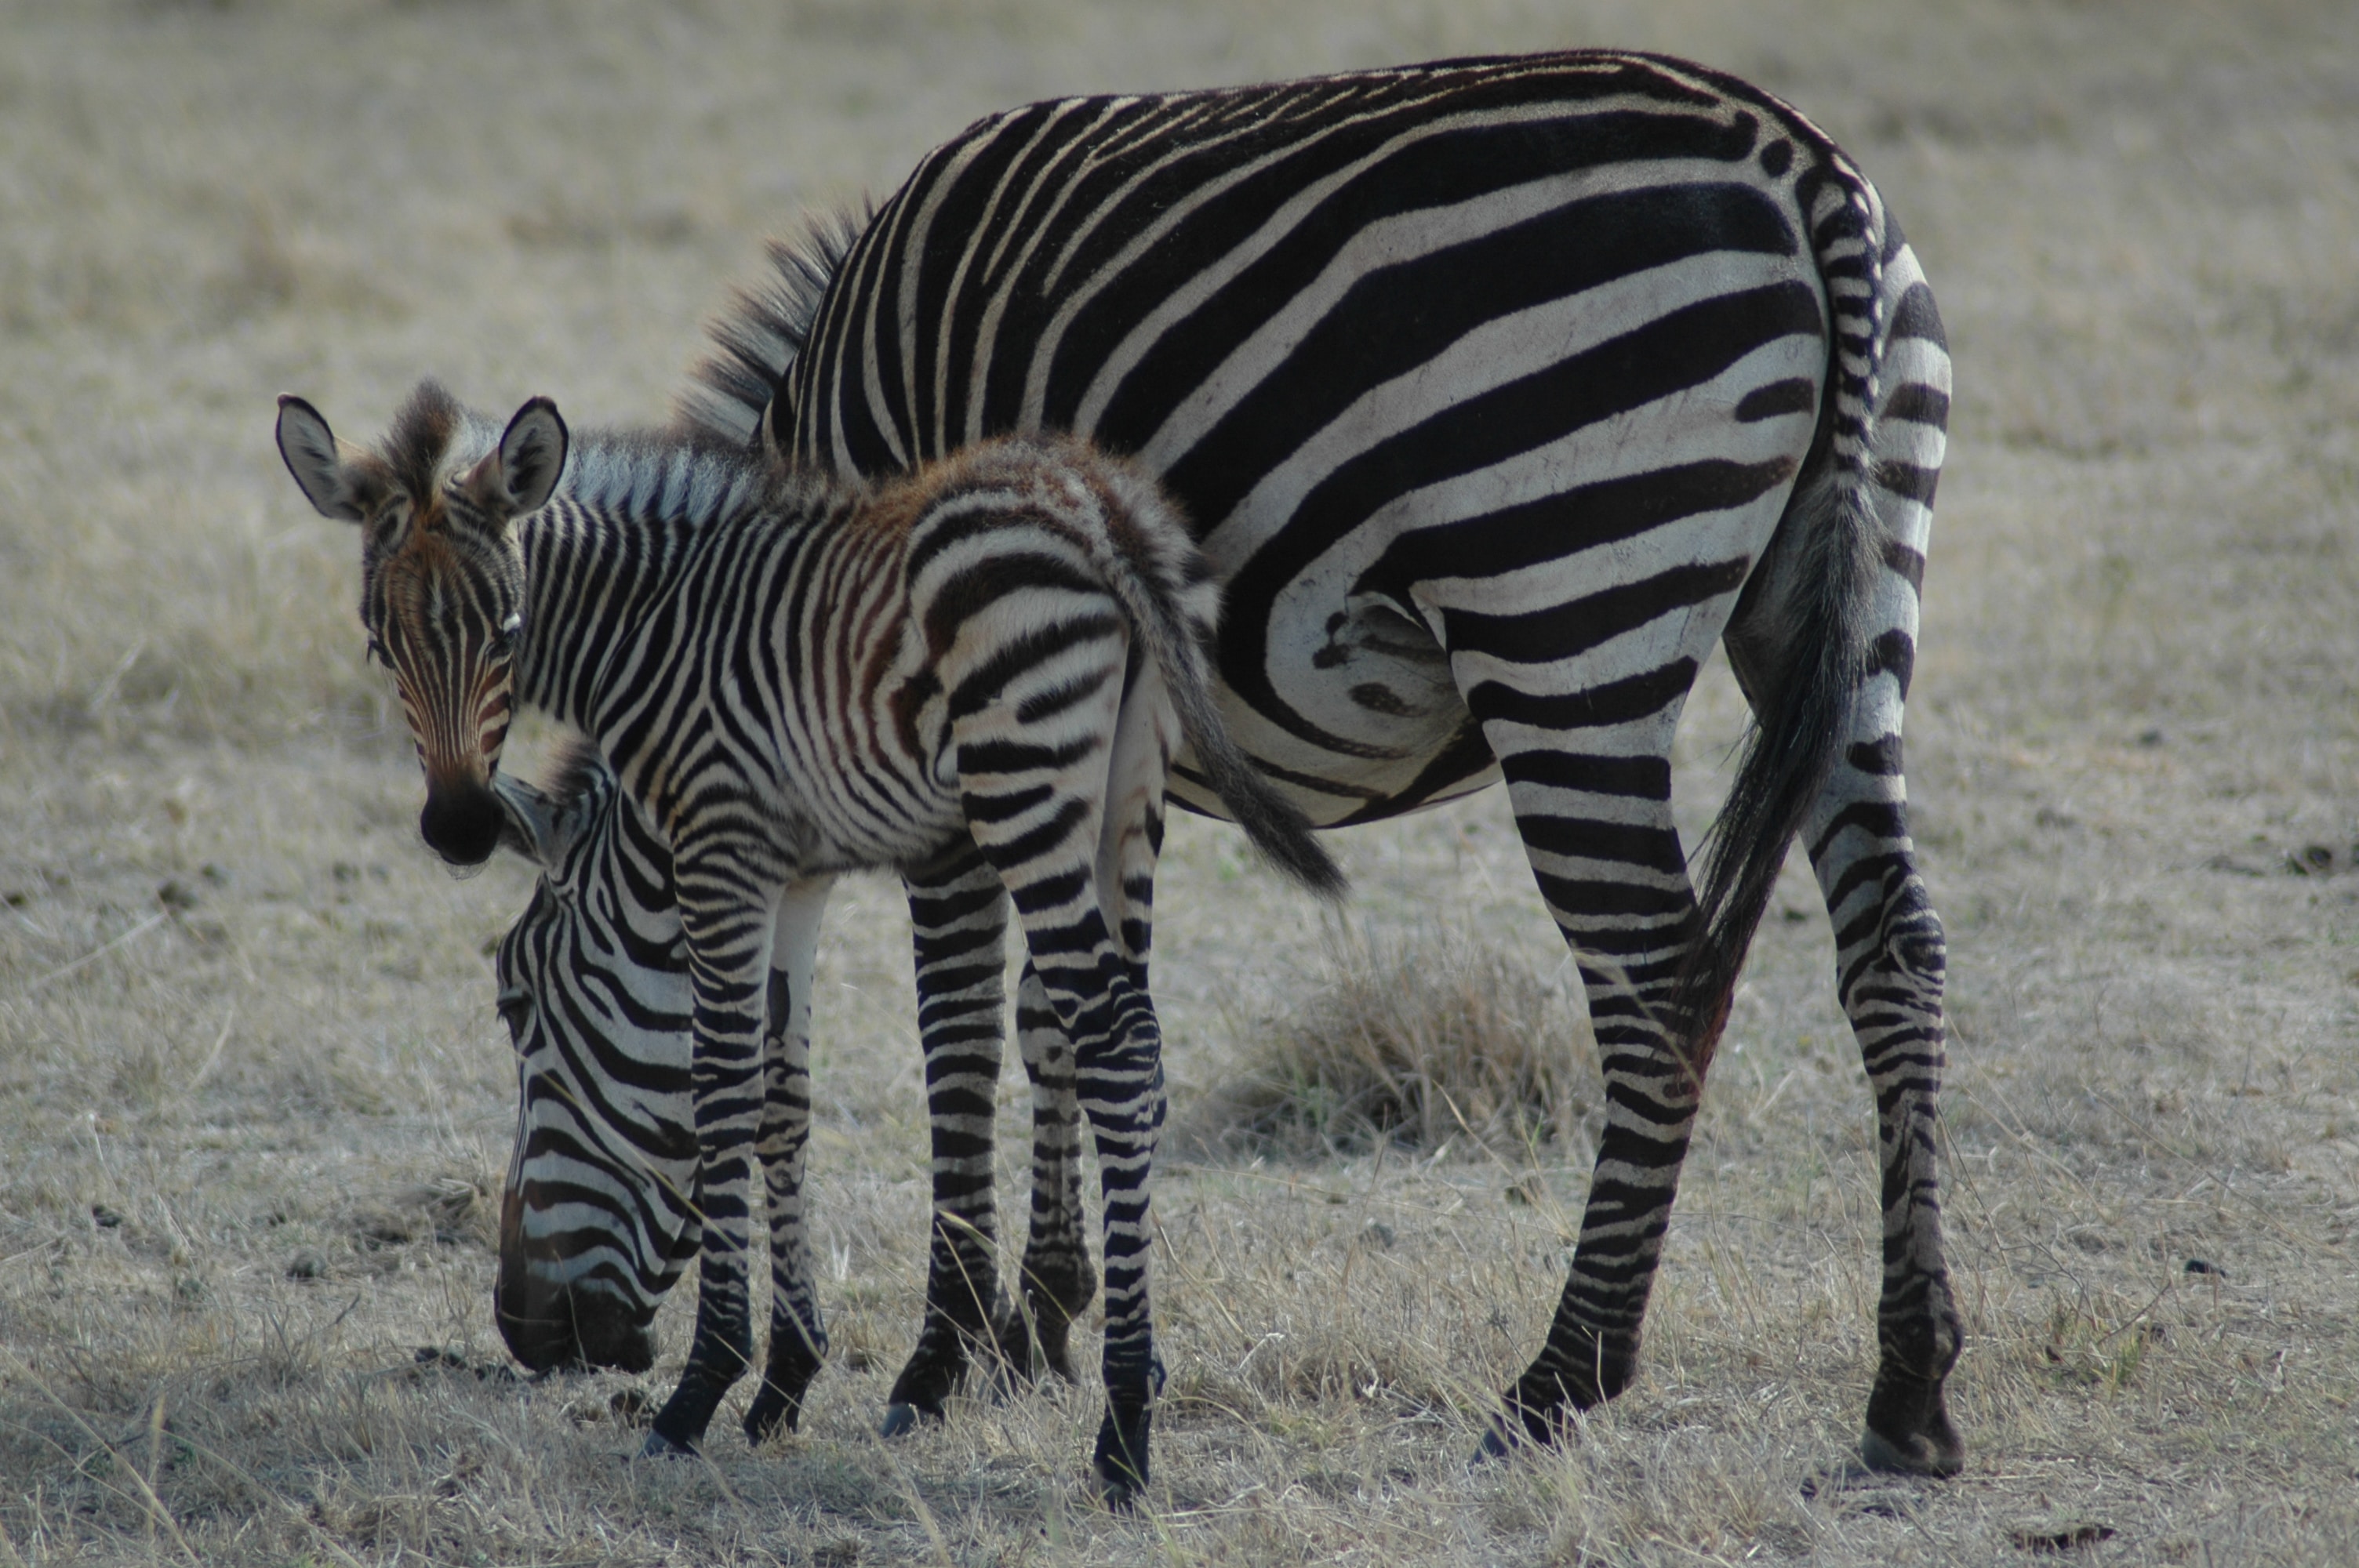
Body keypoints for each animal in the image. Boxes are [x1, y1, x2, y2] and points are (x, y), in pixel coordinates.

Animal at [271, 384, 1349, 1499]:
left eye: (509, 630)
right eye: (377, 643)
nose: (456, 827)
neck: (654, 630)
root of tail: (1101, 508)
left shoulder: (719, 846)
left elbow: (721, 1088)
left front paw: (702, 1386)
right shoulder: (793, 869)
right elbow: (779, 1096)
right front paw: (783, 1378)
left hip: (1022, 777)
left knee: (1113, 1040)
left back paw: (1125, 1427)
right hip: (1129, 794)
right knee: (1129, 1037)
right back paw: (1127, 1383)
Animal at [707, 45, 1962, 1471]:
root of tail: (1800, 167)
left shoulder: (961, 716)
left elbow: (961, 1018)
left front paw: (947, 1346)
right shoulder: (1093, 747)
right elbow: (1063, 1009)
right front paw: (1050, 1313)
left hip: (1563, 604)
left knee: (1656, 978)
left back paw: (1561, 1376)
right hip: (1849, 595)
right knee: (1893, 947)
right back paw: (1908, 1385)